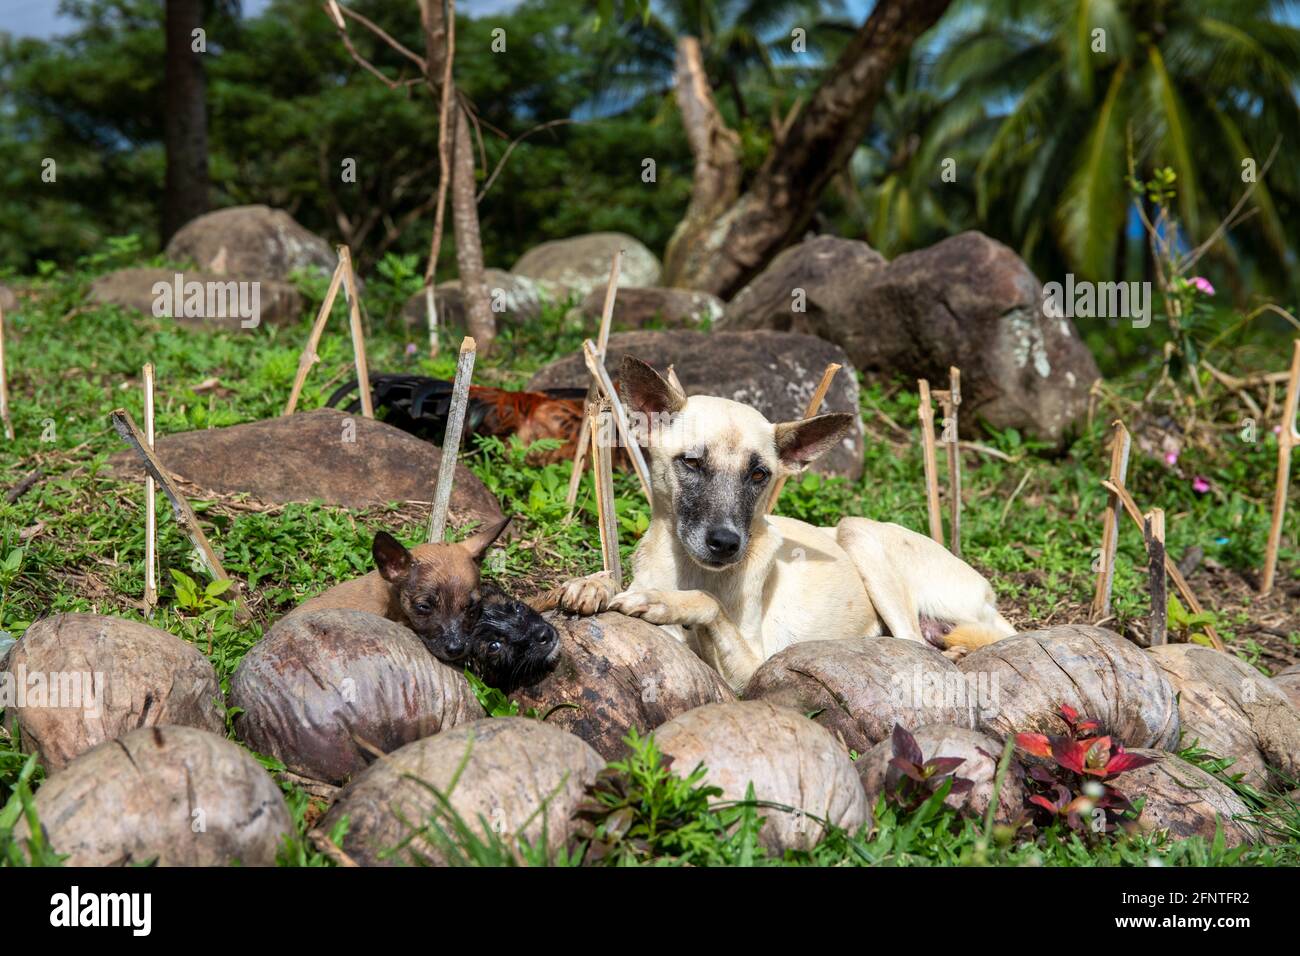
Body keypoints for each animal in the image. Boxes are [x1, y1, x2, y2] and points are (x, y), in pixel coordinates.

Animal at [559, 356, 1013, 691]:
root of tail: (988, 594)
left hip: (857, 532)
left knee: (916, 644)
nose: (726, 543)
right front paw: (593, 585)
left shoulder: (750, 671)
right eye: (691, 462)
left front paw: (661, 602)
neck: (689, 570)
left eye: (759, 474)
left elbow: (708, 604)